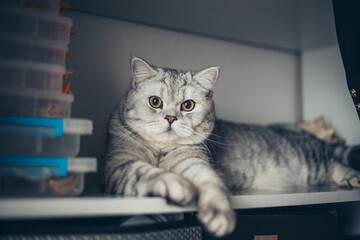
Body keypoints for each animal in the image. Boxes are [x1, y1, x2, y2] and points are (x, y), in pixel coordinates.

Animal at [103, 57, 360, 237]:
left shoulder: (197, 163)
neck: (160, 150)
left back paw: (352, 178)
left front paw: (219, 217)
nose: (170, 118)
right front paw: (176, 185)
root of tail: (297, 131)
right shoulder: (119, 165)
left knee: (335, 162)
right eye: (155, 102)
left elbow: (210, 184)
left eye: (188, 105)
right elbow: (147, 172)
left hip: (309, 162)